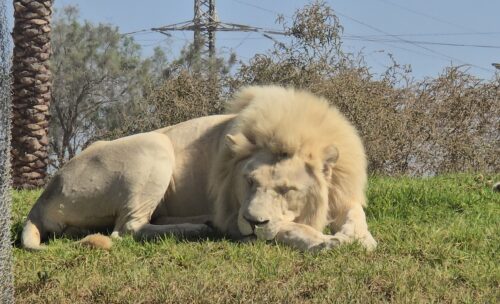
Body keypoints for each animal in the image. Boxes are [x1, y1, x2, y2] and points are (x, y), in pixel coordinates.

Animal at [22, 85, 376, 252]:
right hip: (156, 147)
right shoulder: (235, 217)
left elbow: (356, 214)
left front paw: (359, 237)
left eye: (288, 190)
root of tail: (39, 202)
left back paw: (198, 223)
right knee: (128, 228)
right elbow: (284, 228)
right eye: (248, 181)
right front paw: (324, 241)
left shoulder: (342, 192)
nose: (253, 221)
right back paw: (197, 229)